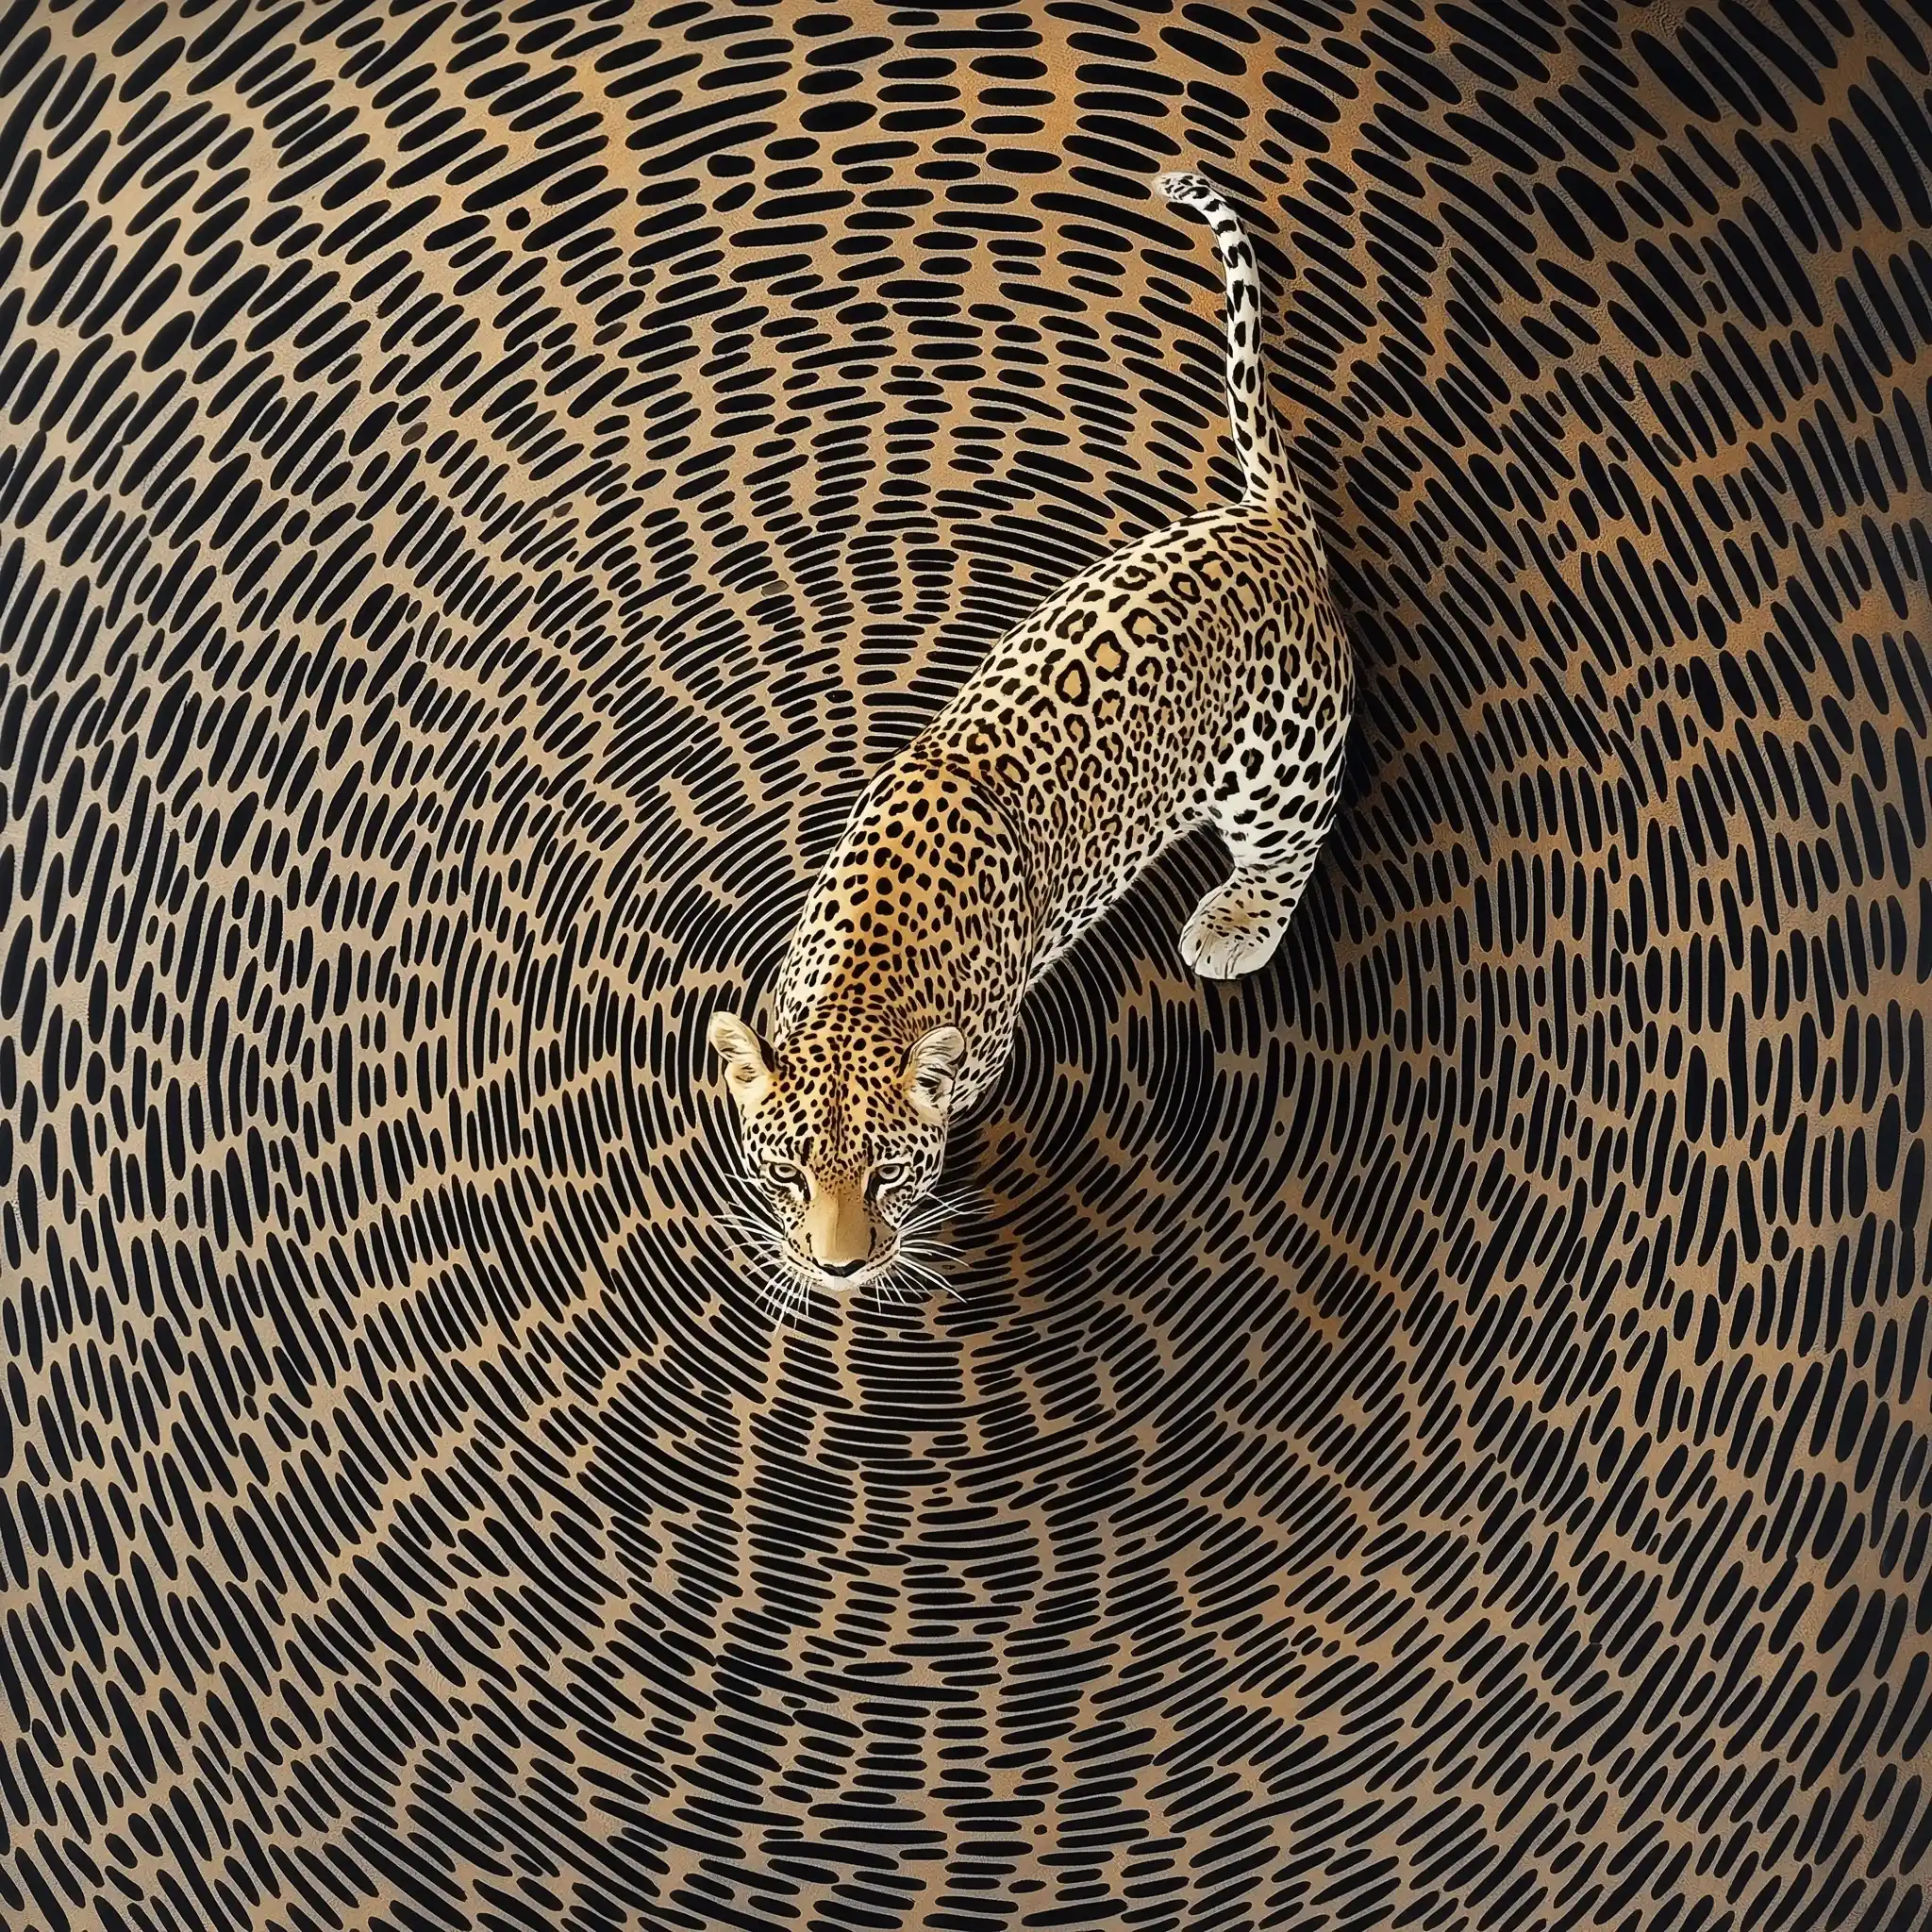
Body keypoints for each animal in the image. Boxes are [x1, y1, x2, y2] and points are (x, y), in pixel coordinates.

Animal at [709, 170, 1353, 1297]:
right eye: (788, 1173)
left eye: (887, 1174)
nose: (840, 1272)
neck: (868, 982)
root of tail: (1261, 520)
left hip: (1281, 755)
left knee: (1294, 836)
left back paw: (1235, 922)